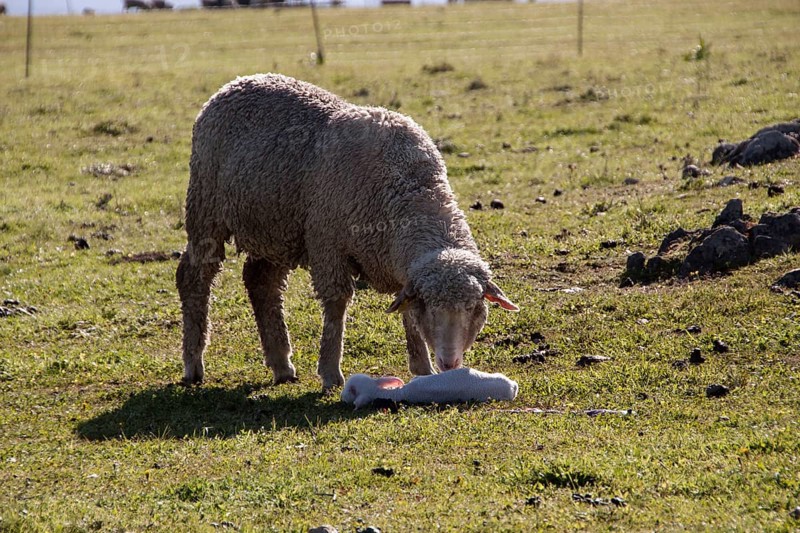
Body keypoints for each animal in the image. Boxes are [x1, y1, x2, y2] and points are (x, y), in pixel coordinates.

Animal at [177, 73, 518, 391]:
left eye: (472, 307)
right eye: (431, 307)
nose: (450, 363)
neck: (410, 190)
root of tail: (240, 81)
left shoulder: (395, 263)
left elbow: (404, 310)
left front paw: (422, 367)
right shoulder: (328, 245)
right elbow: (336, 306)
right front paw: (330, 372)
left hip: (275, 227)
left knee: (261, 282)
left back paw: (281, 364)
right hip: (206, 209)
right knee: (194, 277)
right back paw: (194, 363)